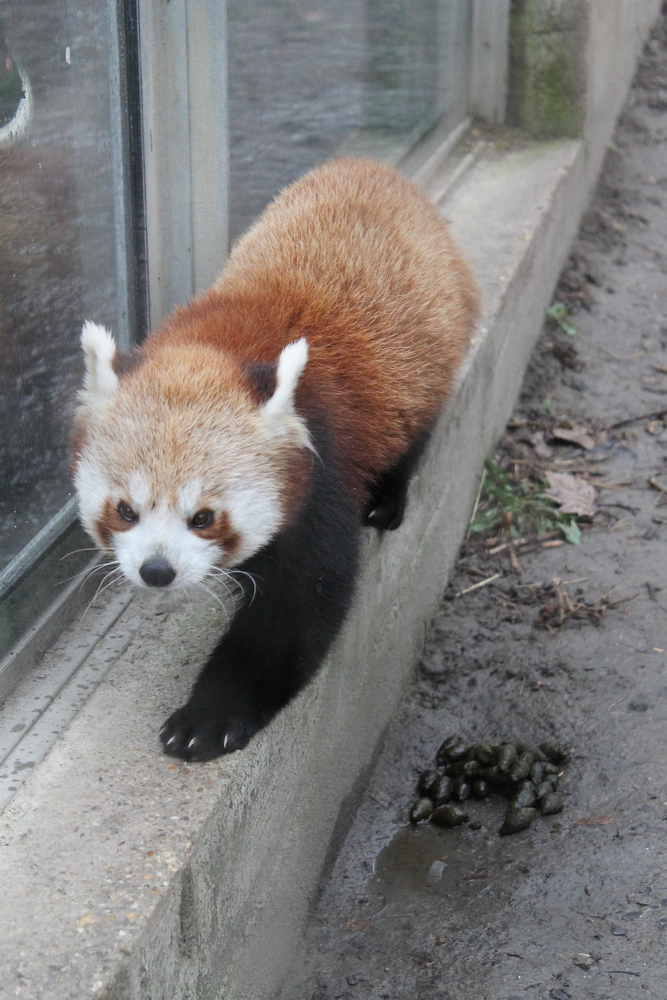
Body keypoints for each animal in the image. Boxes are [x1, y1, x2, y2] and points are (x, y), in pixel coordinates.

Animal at [73, 156, 480, 756]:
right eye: (125, 510)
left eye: (204, 517)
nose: (157, 571)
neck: (222, 344)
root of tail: (376, 168)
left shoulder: (322, 469)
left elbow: (296, 610)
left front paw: (209, 717)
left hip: (426, 359)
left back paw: (389, 496)